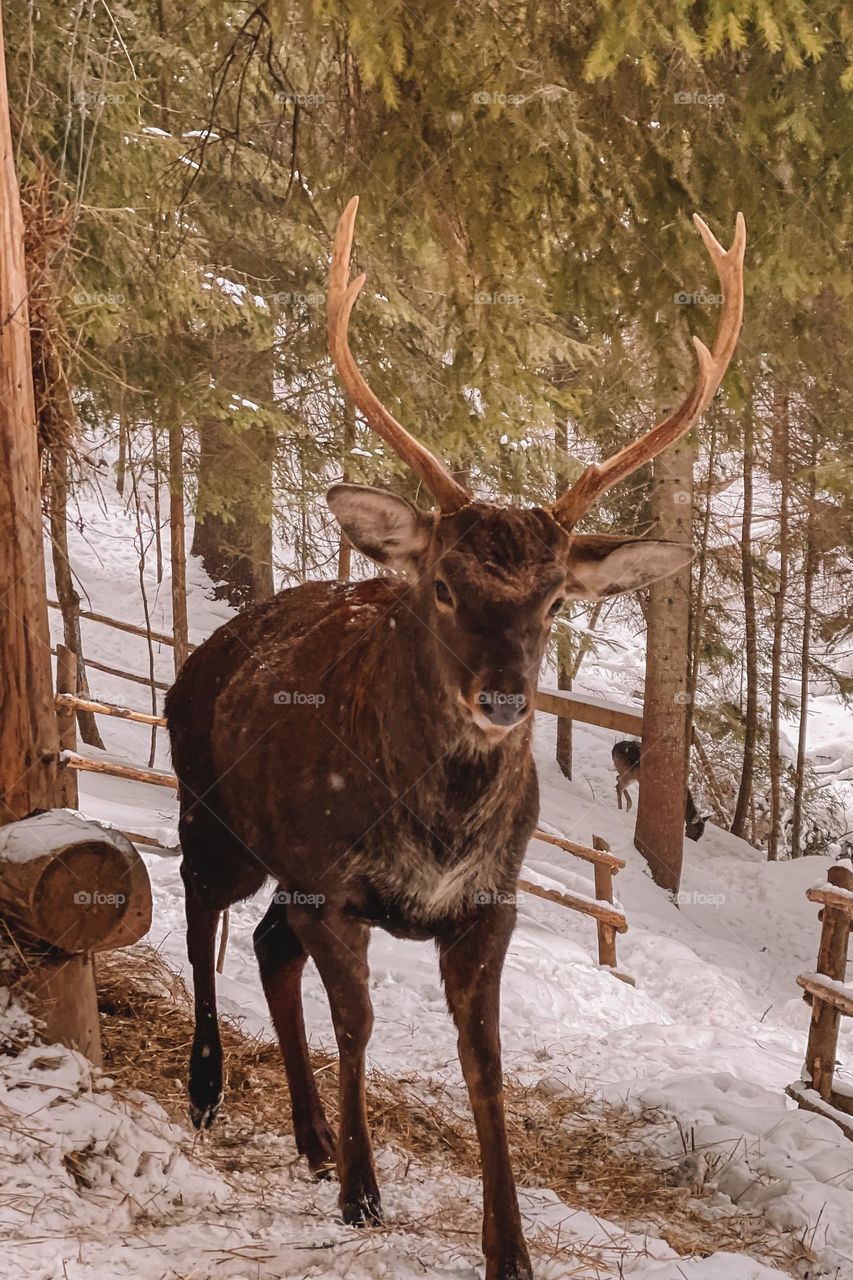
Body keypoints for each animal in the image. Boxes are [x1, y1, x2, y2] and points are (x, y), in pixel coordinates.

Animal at [166, 198, 745, 1280]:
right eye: (439, 582)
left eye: (556, 597)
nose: (505, 699)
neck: (434, 831)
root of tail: (203, 650)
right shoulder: (332, 878)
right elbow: (359, 1022)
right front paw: (363, 1192)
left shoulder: (489, 902)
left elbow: (485, 1061)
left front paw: (506, 1246)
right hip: (211, 812)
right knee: (196, 918)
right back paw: (211, 1089)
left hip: (277, 867)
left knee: (264, 945)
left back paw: (309, 1135)